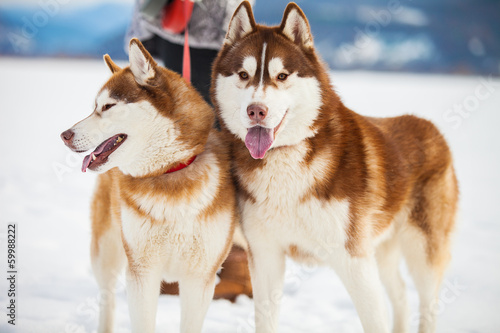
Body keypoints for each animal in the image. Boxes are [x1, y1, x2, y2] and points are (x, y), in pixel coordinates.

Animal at [60, 39, 236, 332]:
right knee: (107, 298)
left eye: (107, 106)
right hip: (106, 251)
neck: (170, 171)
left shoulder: (200, 277)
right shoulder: (142, 271)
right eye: (94, 106)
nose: (64, 135)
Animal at [211, 2, 458, 332]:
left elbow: (374, 319)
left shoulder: (353, 259)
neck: (285, 159)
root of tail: (430, 126)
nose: (256, 110)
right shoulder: (266, 255)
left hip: (422, 250)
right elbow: (266, 319)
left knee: (427, 303)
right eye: (243, 74)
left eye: (282, 75)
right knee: (401, 294)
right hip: (382, 248)